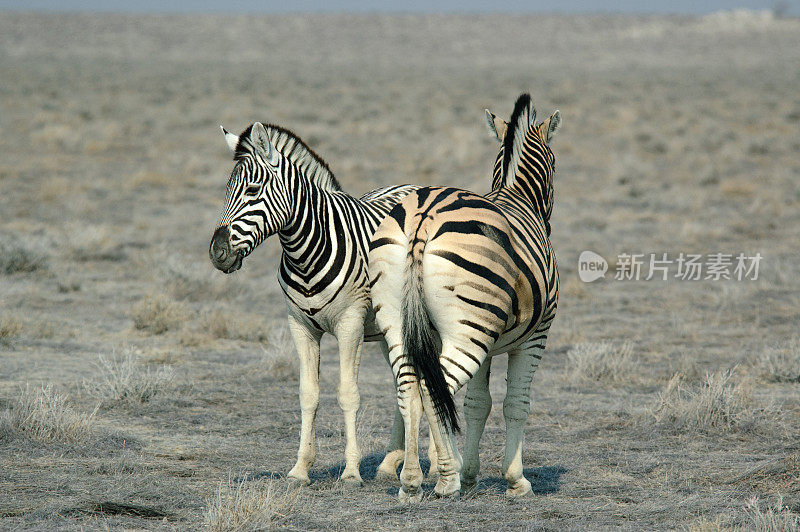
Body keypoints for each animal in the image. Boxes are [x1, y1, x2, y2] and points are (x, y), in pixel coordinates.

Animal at [206, 121, 418, 486]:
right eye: (227, 191)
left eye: (252, 190)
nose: (217, 253)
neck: (305, 253)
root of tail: (414, 185)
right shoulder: (300, 326)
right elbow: (308, 394)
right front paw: (300, 468)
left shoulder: (351, 323)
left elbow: (348, 393)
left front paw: (351, 471)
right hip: (388, 330)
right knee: (403, 382)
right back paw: (391, 463)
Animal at [368, 93, 564, 500]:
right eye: (555, 165)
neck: (515, 197)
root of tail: (423, 217)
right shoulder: (535, 337)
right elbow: (515, 404)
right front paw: (515, 479)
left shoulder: (486, 341)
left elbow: (477, 404)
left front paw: (472, 472)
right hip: (468, 332)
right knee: (431, 389)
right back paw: (443, 479)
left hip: (399, 320)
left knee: (408, 387)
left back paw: (412, 481)